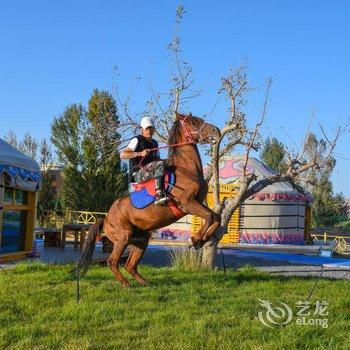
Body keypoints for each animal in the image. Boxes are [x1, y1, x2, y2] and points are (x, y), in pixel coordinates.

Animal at [76, 112, 220, 288]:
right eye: (193, 122)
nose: (216, 131)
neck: (187, 170)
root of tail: (107, 217)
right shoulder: (188, 204)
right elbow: (210, 217)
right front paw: (195, 239)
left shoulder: (197, 203)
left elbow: (216, 217)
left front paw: (202, 239)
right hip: (123, 237)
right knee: (112, 261)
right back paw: (126, 284)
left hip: (141, 240)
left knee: (130, 265)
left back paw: (144, 282)